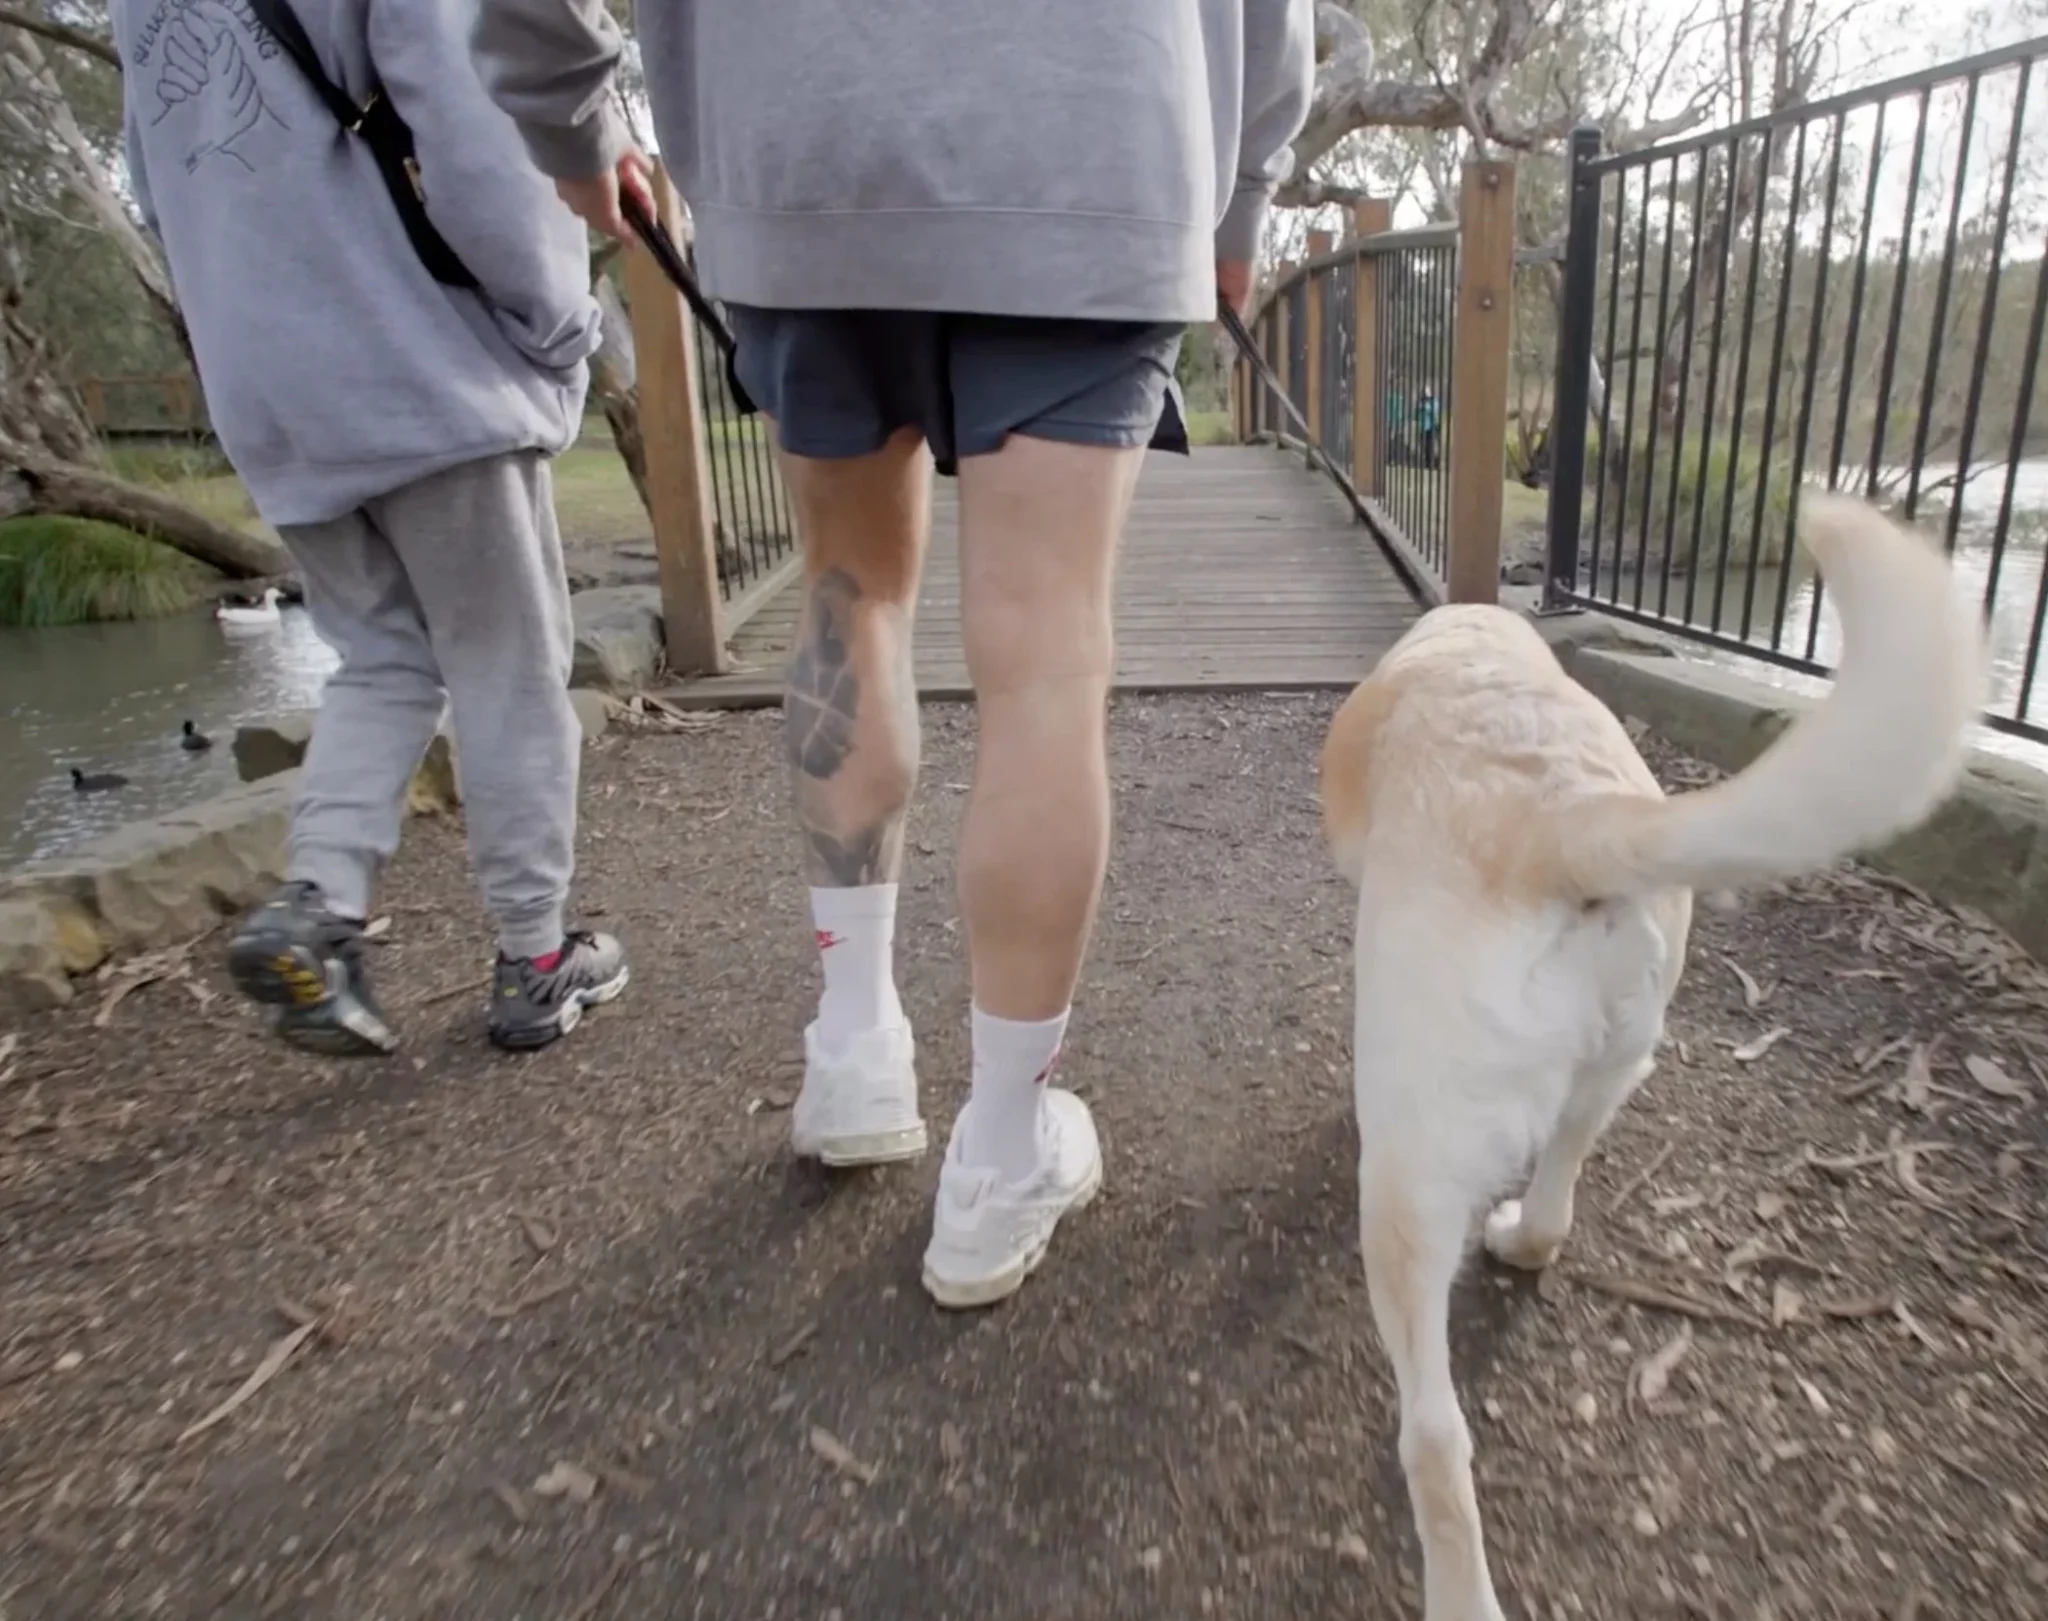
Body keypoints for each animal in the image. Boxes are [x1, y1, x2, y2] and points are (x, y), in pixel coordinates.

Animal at [1318, 497, 1990, 1621]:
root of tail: (1565, 824)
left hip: (1409, 1178)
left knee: (1434, 1437)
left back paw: (1459, 1588)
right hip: (1617, 1062)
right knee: (1556, 1197)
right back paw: (1522, 1238)